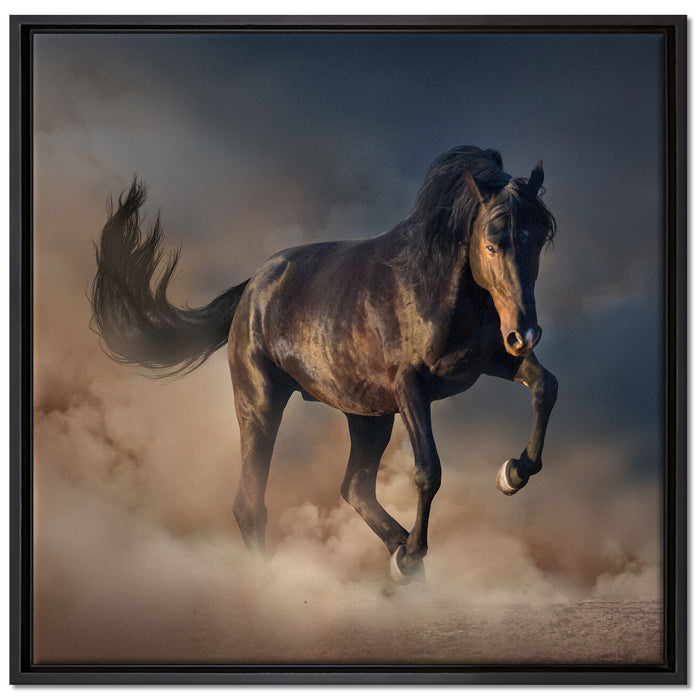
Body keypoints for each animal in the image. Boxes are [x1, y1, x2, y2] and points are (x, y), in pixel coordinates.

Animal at [90, 145, 558, 584]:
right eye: (491, 244)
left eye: (538, 240)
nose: (526, 333)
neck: (433, 286)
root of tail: (253, 286)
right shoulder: (411, 387)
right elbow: (429, 471)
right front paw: (412, 554)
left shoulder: (493, 360)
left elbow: (545, 386)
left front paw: (513, 474)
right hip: (261, 404)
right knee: (251, 504)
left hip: (369, 415)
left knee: (355, 488)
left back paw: (401, 557)